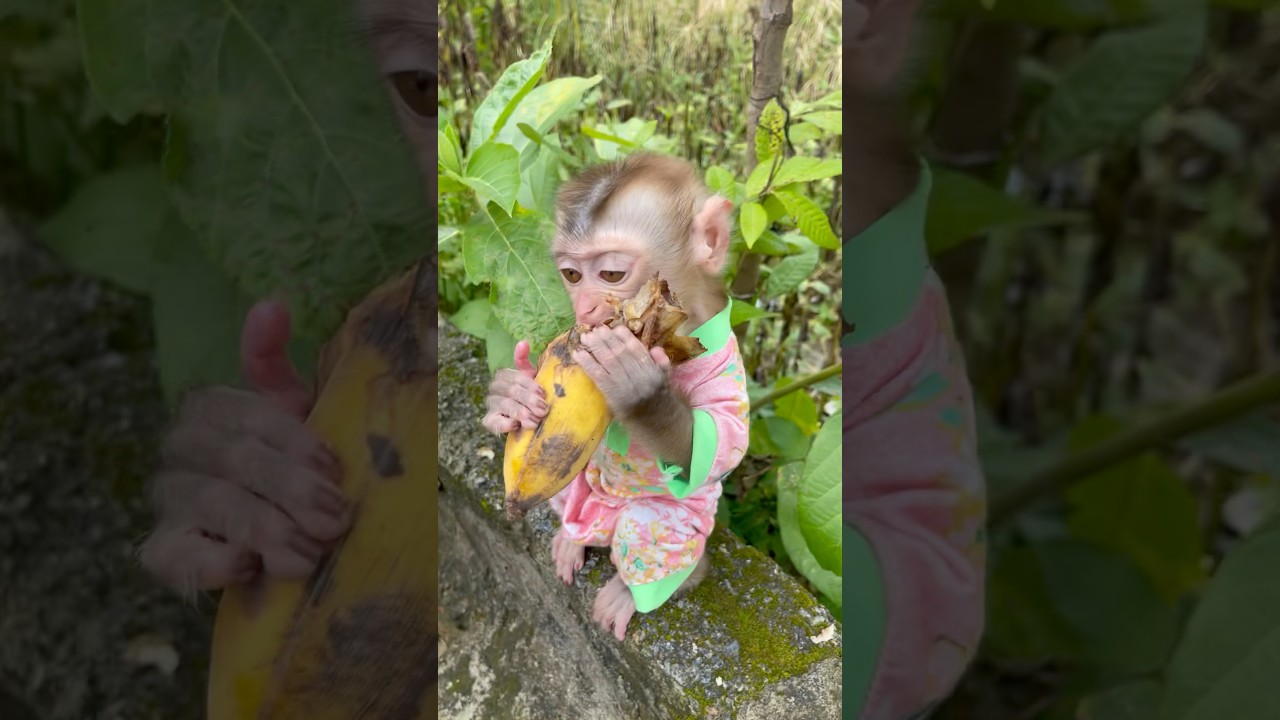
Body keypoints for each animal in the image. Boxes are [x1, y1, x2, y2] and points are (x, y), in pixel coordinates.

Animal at [481, 152, 751, 641]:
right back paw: (570, 542)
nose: (584, 308)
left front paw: (638, 388)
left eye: (610, 274)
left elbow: (719, 445)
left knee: (650, 527)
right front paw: (508, 395)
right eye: (571, 276)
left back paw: (629, 592)